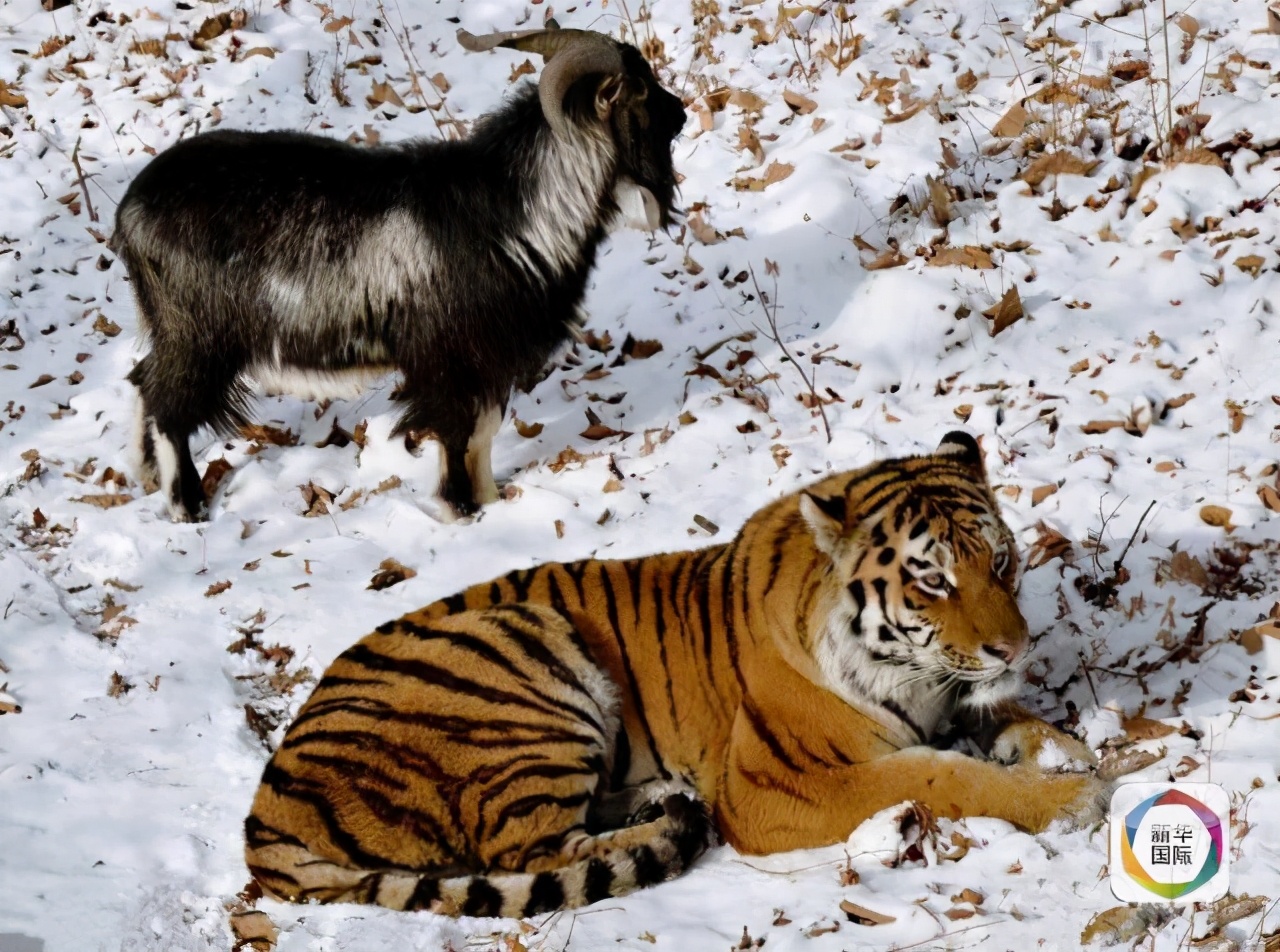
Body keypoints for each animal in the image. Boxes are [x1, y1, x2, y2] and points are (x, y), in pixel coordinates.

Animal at [245, 431, 1107, 918]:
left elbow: (1004, 722)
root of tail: (265, 808)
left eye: (1000, 560)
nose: (1013, 648)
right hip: (526, 647)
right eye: (932, 580)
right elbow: (938, 776)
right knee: (530, 852)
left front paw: (1066, 749)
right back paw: (668, 815)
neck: (909, 676)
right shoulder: (774, 785)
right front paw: (1072, 798)